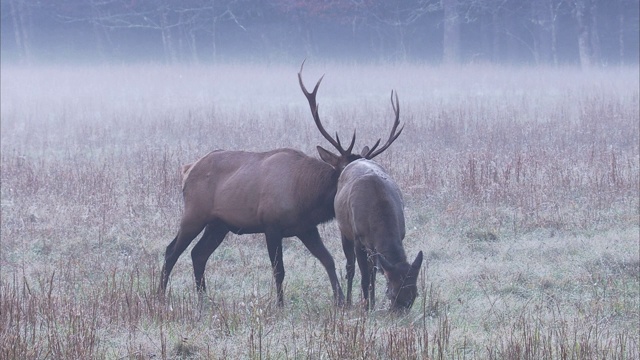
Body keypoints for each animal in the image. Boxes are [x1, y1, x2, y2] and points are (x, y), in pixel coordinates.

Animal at [336, 93, 424, 312]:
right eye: (392, 293)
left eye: (415, 294)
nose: (400, 313)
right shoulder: (358, 239)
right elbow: (364, 277)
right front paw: (366, 307)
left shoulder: (400, 233)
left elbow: (374, 273)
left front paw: (372, 303)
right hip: (344, 231)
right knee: (350, 268)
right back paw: (349, 301)